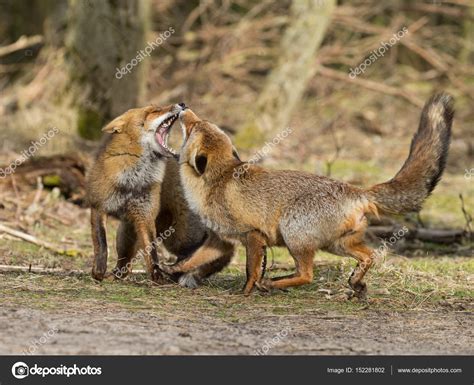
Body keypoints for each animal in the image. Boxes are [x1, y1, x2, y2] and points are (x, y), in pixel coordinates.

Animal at [172, 93, 454, 296]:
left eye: (194, 126)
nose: (183, 105)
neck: (216, 182)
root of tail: (357, 190)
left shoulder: (253, 234)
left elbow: (251, 270)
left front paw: (246, 291)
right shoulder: (220, 239)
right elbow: (190, 261)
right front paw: (169, 269)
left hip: (294, 233)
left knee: (307, 275)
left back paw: (272, 284)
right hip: (337, 244)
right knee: (370, 255)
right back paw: (356, 284)